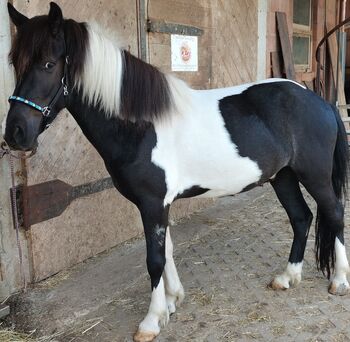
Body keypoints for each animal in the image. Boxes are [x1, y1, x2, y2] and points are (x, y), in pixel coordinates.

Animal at [3, 2, 350, 342]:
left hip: (314, 176)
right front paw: (172, 302)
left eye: (49, 64)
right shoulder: (158, 204)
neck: (142, 125)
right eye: (15, 63)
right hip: (283, 176)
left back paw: (339, 281)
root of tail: (319, 101)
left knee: (334, 212)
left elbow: (154, 259)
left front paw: (151, 321)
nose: (15, 133)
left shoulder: (153, 203)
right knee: (301, 217)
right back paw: (288, 277)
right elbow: (167, 250)